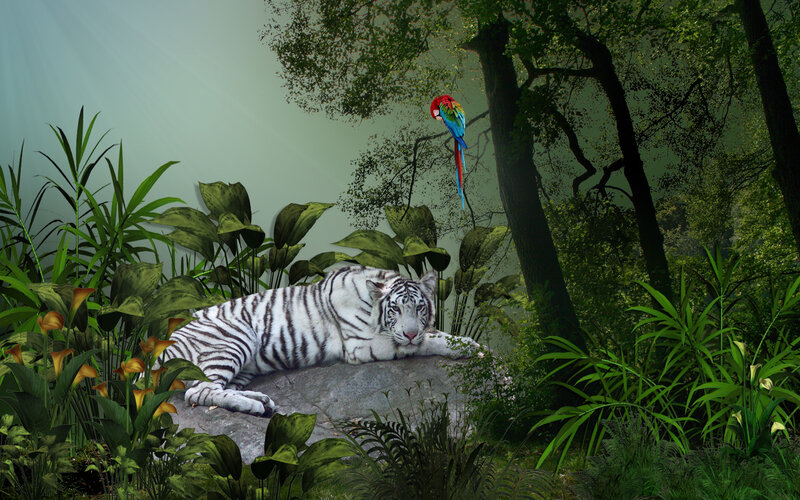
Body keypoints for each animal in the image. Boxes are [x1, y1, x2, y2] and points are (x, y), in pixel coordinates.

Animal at [159, 265, 481, 417]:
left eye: (420, 307)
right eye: (396, 309)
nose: (411, 330)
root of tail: (163, 341)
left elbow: (435, 332)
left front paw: (470, 343)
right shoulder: (362, 344)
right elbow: (426, 341)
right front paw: (466, 347)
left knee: (216, 388)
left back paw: (261, 402)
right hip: (234, 337)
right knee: (198, 392)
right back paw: (255, 406)